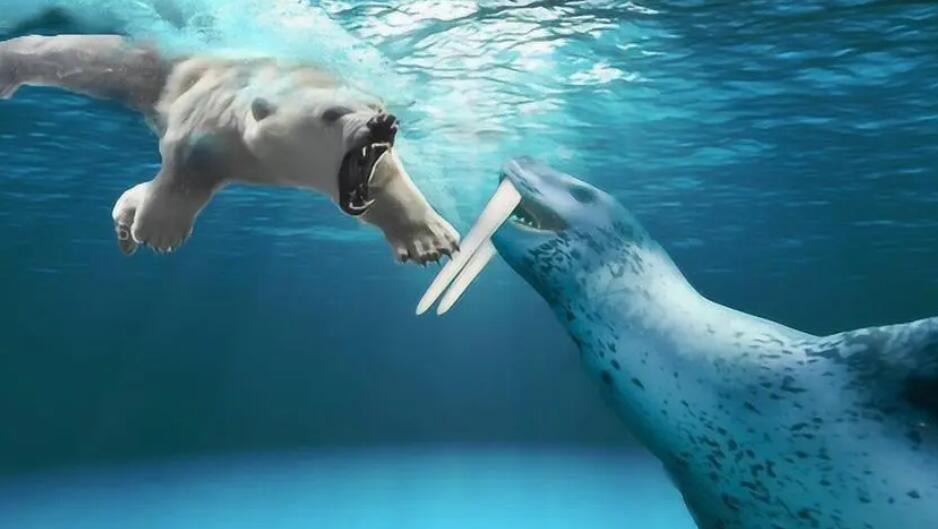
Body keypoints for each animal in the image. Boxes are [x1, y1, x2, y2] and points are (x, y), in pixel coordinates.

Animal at [0, 34, 459, 264]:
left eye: (377, 107)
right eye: (332, 113)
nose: (385, 122)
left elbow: (386, 180)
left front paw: (432, 242)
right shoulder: (214, 116)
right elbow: (183, 158)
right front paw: (160, 231)